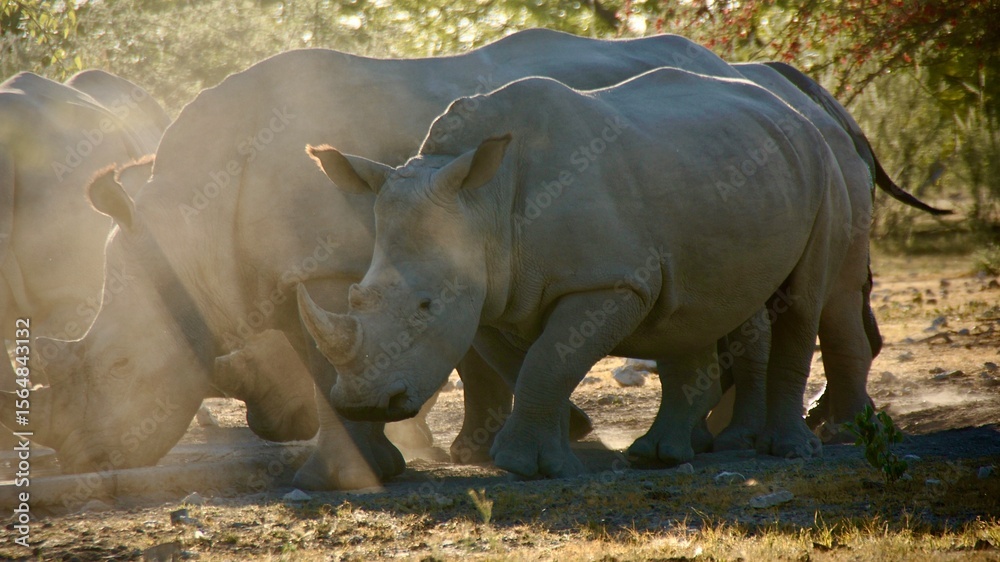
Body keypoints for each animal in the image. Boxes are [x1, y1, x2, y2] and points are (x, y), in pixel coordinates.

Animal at [30, 29, 770, 489]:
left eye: (119, 367)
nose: (84, 460)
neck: (187, 228)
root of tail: (725, 64)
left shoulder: (327, 267)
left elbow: (320, 357)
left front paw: (346, 474)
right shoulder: (293, 275)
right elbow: (321, 361)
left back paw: (727, 441)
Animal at [298, 67, 862, 479]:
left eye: (425, 305)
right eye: (355, 297)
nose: (365, 404)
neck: (484, 204)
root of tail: (794, 106)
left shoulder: (609, 279)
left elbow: (547, 361)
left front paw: (523, 466)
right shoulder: (489, 293)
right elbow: (534, 364)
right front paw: (550, 451)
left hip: (822, 165)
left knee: (803, 300)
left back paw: (788, 451)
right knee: (689, 311)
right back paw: (659, 456)